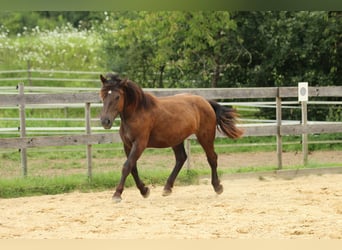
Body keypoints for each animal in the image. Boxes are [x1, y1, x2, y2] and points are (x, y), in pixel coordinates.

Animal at [99, 73, 243, 202]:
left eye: (117, 96)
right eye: (102, 95)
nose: (105, 121)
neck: (137, 112)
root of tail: (205, 102)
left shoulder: (140, 144)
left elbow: (127, 166)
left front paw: (117, 194)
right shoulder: (127, 145)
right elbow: (133, 168)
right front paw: (144, 190)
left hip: (205, 136)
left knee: (212, 158)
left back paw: (217, 187)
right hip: (176, 139)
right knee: (181, 158)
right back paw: (167, 188)